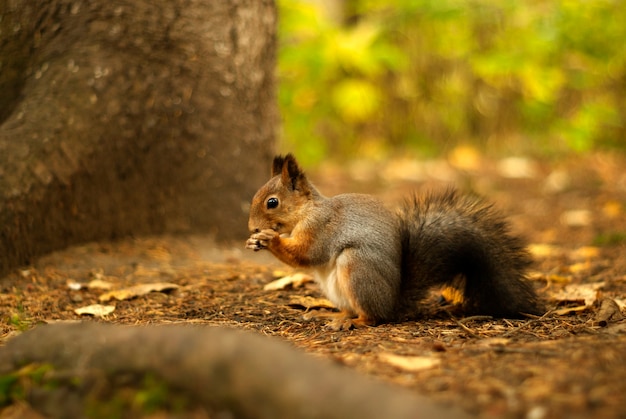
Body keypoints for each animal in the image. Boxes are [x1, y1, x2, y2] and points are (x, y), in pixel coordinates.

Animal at [244, 154, 540, 332]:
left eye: (272, 202)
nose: (252, 228)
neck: (306, 211)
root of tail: (392, 302)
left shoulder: (321, 229)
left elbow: (306, 254)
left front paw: (269, 239)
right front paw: (254, 240)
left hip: (357, 267)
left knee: (373, 317)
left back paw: (349, 322)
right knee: (351, 310)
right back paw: (329, 316)